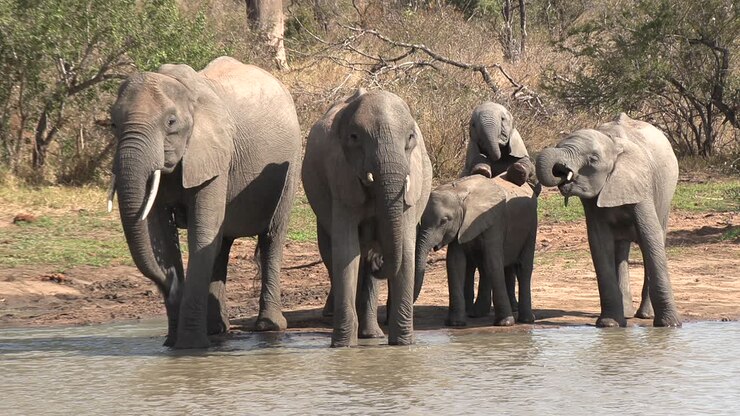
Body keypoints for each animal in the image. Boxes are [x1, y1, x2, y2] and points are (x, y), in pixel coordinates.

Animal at [109, 56, 302, 349]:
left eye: (171, 122)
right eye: (112, 125)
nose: (172, 284)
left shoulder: (216, 155)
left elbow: (201, 232)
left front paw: (190, 346)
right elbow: (162, 237)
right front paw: (172, 343)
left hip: (291, 163)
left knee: (272, 236)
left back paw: (268, 326)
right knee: (221, 244)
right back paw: (216, 329)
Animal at [302, 88, 433, 347]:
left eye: (410, 137)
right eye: (354, 137)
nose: (378, 262)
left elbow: (405, 248)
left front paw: (403, 345)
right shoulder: (340, 176)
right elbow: (346, 251)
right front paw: (343, 346)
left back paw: (372, 334)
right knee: (334, 253)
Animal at [414, 174, 537, 327]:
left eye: (444, 221)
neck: (460, 192)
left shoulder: (494, 222)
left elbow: (493, 262)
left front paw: (505, 323)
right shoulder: (460, 225)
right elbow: (455, 264)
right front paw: (455, 324)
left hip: (531, 226)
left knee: (523, 268)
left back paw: (526, 320)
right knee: (484, 267)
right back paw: (477, 314)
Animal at [536, 113, 681, 328]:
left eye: (593, 159)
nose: (561, 171)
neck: (613, 143)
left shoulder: (641, 185)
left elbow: (650, 237)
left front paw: (670, 325)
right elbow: (599, 242)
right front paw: (609, 324)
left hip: (665, 196)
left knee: (655, 238)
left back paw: (645, 315)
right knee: (621, 247)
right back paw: (627, 314)